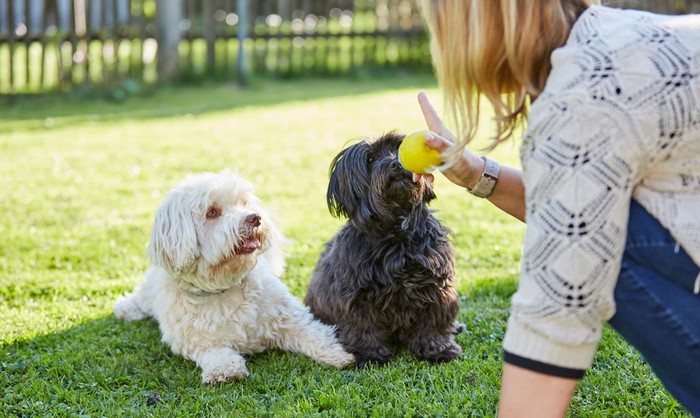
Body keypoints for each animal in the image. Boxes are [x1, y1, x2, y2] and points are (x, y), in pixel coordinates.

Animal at [117, 170, 356, 386]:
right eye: (212, 212)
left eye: (243, 203)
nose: (255, 217)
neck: (224, 285)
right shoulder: (198, 341)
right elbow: (217, 352)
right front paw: (225, 371)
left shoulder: (287, 317)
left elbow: (312, 333)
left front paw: (338, 354)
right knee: (142, 298)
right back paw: (126, 309)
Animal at [302, 132, 462, 368]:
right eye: (370, 159)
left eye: (397, 149)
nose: (397, 164)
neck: (396, 234)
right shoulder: (357, 295)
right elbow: (363, 326)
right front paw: (369, 353)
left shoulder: (435, 285)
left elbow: (432, 320)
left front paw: (437, 348)